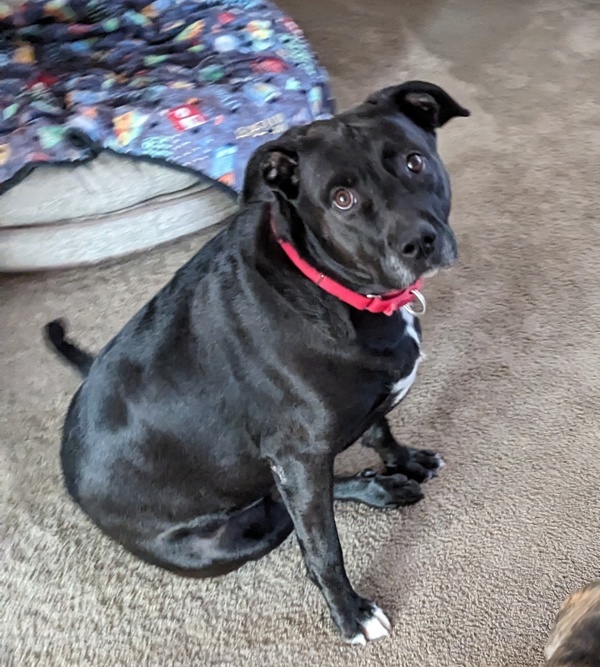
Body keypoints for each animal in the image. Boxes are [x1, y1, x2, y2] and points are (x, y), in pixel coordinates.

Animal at [45, 81, 468, 644]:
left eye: (414, 162)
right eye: (342, 199)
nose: (418, 243)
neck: (327, 286)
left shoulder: (329, 437)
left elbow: (380, 429)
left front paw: (402, 461)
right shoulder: (299, 456)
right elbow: (323, 549)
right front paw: (350, 613)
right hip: (238, 536)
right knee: (285, 514)